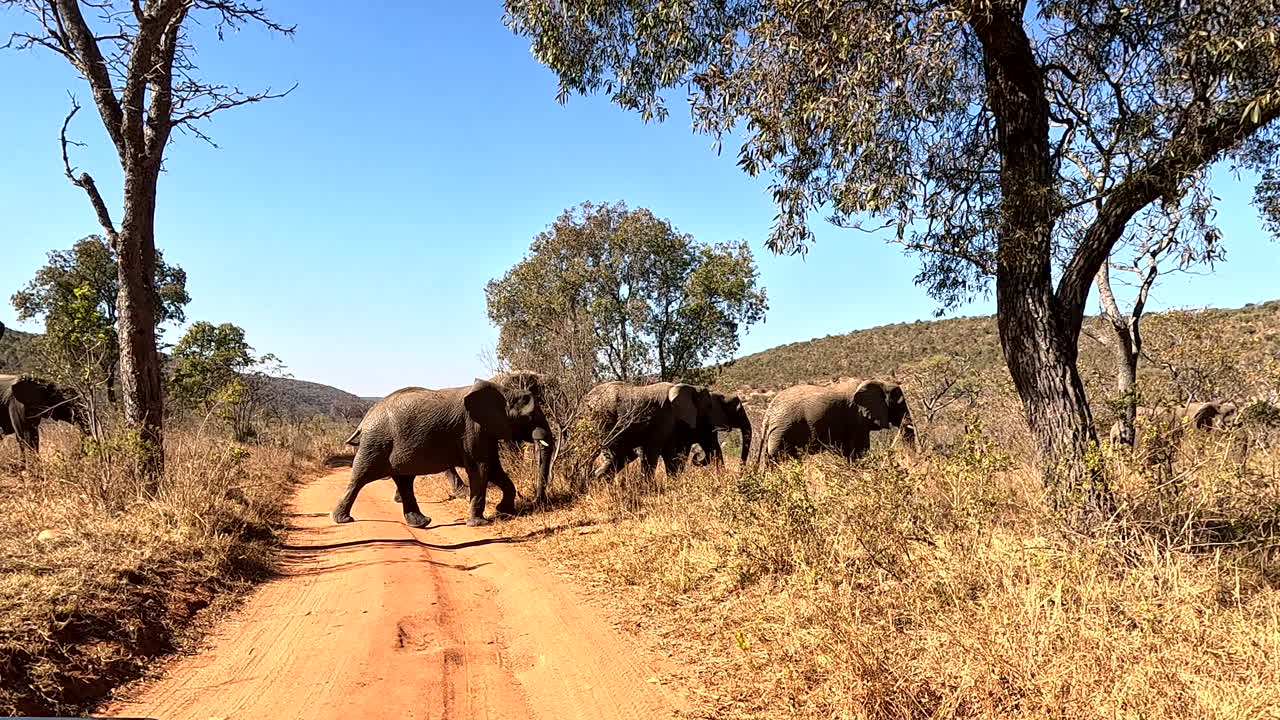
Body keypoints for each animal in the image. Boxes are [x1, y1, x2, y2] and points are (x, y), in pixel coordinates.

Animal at [330, 378, 541, 528]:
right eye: (530, 417)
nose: (533, 502)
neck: (504, 392)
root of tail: (365, 419)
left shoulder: (486, 431)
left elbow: (495, 468)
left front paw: (505, 512)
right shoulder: (473, 428)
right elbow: (481, 467)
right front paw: (480, 524)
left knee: (404, 480)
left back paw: (422, 522)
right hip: (376, 444)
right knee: (360, 478)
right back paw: (342, 520)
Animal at [754, 378, 916, 464]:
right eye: (900, 404)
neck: (880, 383)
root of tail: (768, 414)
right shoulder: (857, 418)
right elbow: (859, 450)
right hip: (783, 431)